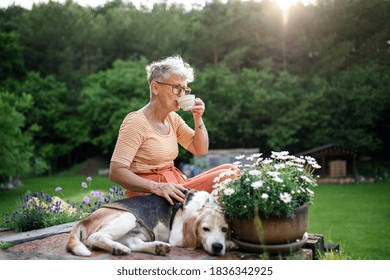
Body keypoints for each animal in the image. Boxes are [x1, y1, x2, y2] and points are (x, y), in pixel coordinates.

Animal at [66, 189, 236, 258]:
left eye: (224, 229)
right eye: (205, 229)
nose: (217, 247)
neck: (203, 205)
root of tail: (84, 220)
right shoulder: (177, 236)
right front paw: (229, 243)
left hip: (136, 232)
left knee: (134, 245)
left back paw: (157, 247)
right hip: (128, 217)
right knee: (95, 237)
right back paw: (118, 248)